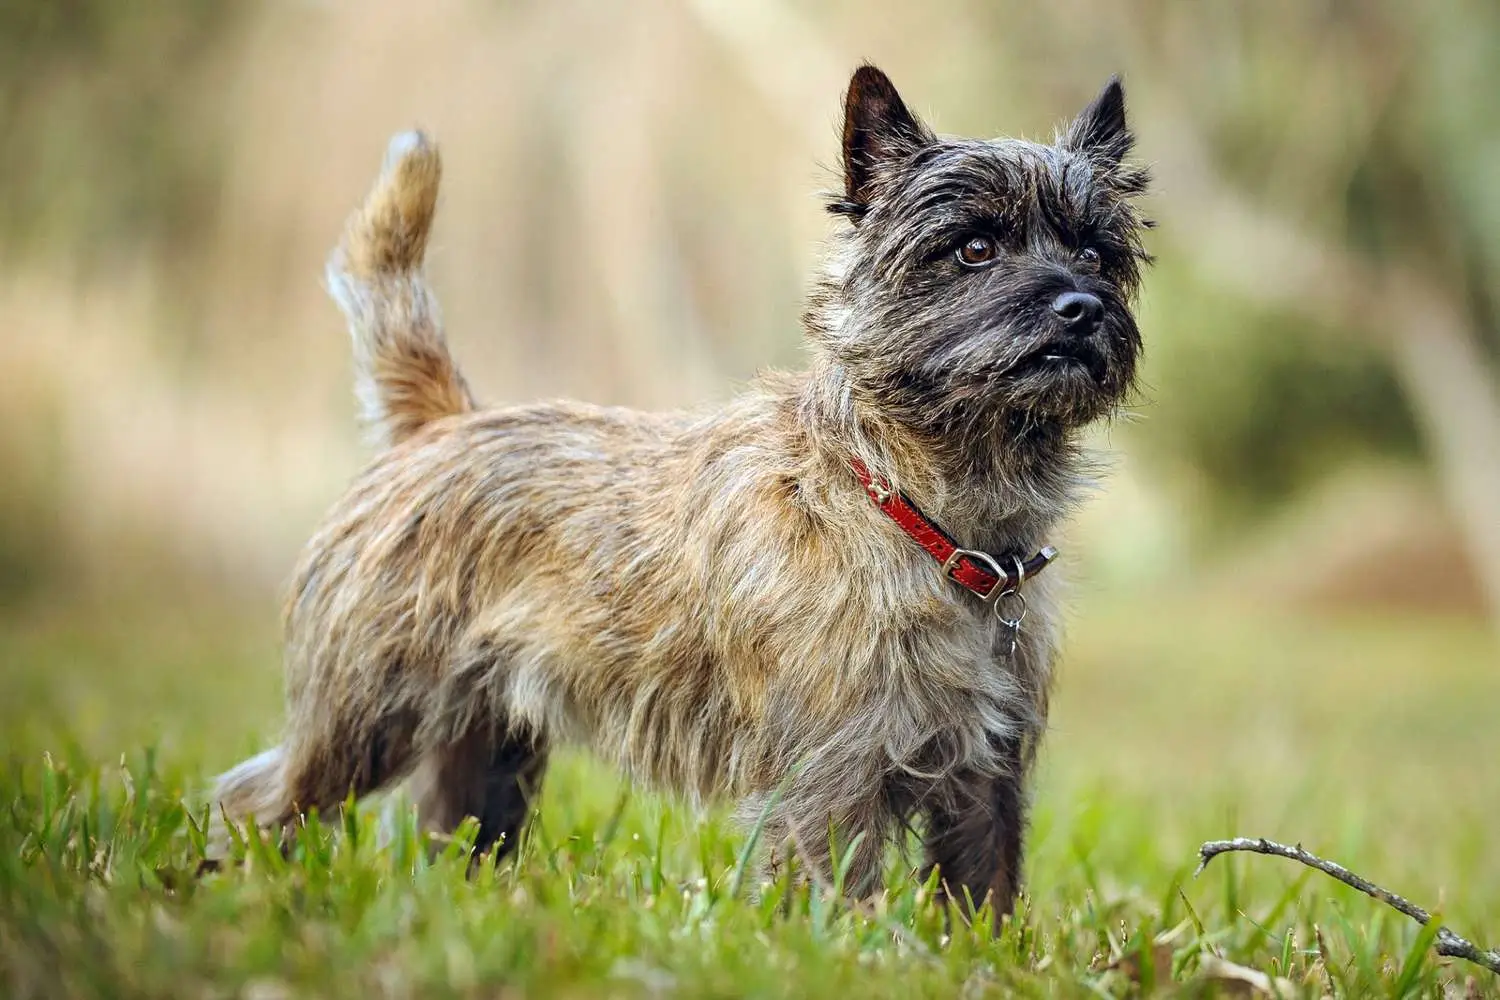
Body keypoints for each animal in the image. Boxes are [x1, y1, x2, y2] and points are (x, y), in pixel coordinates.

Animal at [217, 66, 1146, 917]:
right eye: (974, 249)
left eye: (1097, 253)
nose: (1081, 306)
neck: (926, 514)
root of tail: (443, 422)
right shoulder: (830, 777)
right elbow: (837, 897)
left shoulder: (988, 777)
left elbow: (984, 897)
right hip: (366, 718)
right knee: (257, 801)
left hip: (487, 752)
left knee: (451, 833)